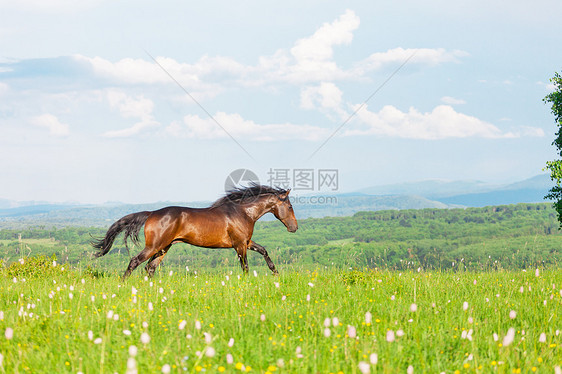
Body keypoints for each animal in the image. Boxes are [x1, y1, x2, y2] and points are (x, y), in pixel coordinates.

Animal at [92, 186, 298, 280]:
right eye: (290, 206)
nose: (294, 228)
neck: (242, 212)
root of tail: (151, 213)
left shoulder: (246, 242)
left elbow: (264, 251)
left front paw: (275, 273)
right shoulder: (239, 245)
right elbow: (245, 266)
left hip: (164, 247)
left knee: (150, 267)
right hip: (155, 245)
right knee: (135, 261)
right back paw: (123, 283)